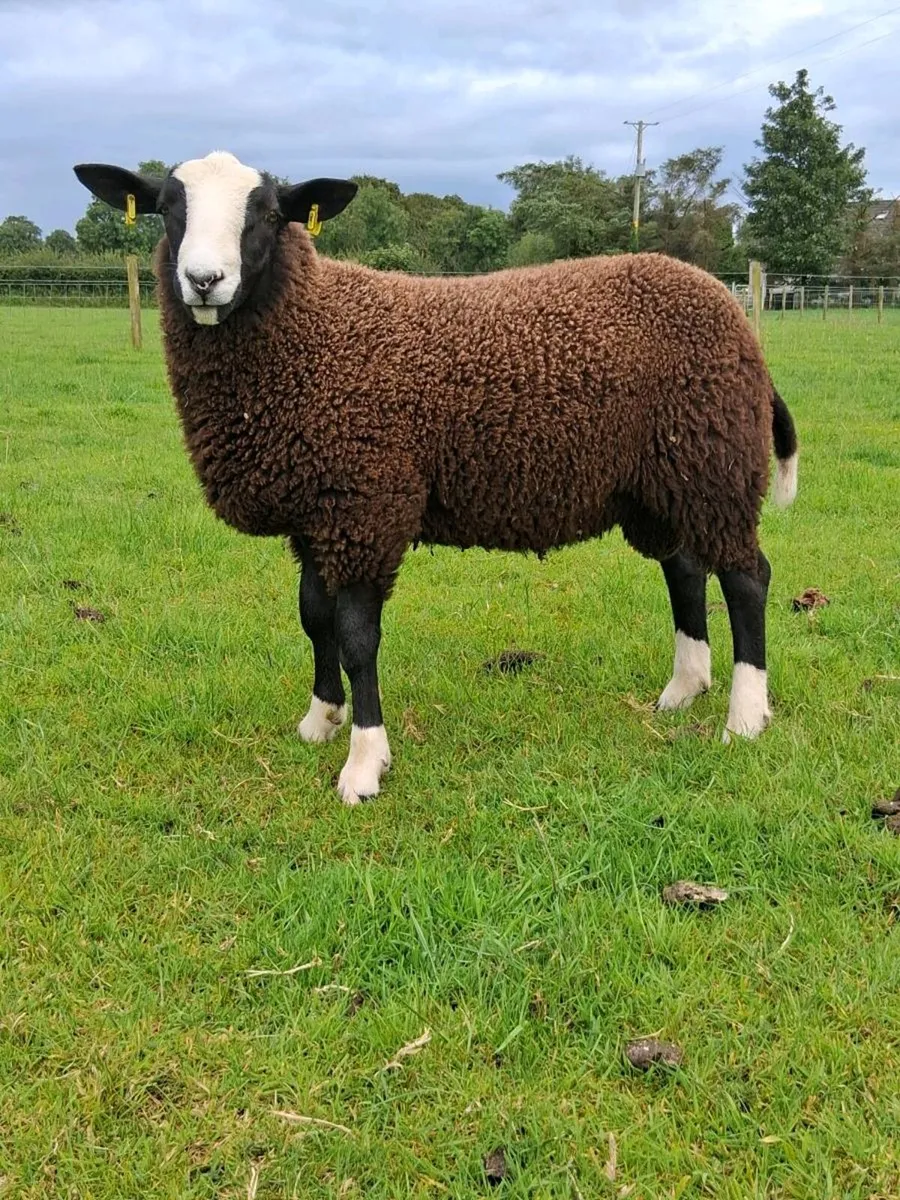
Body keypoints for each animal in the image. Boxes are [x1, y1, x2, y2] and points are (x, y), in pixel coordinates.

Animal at [73, 150, 799, 806]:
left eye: (268, 214)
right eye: (167, 208)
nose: (205, 280)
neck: (307, 332)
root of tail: (732, 313)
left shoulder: (365, 502)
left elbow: (357, 639)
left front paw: (364, 763)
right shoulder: (319, 508)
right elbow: (313, 618)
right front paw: (320, 719)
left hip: (715, 462)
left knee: (746, 579)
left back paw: (744, 716)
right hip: (665, 480)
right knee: (685, 568)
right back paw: (683, 690)